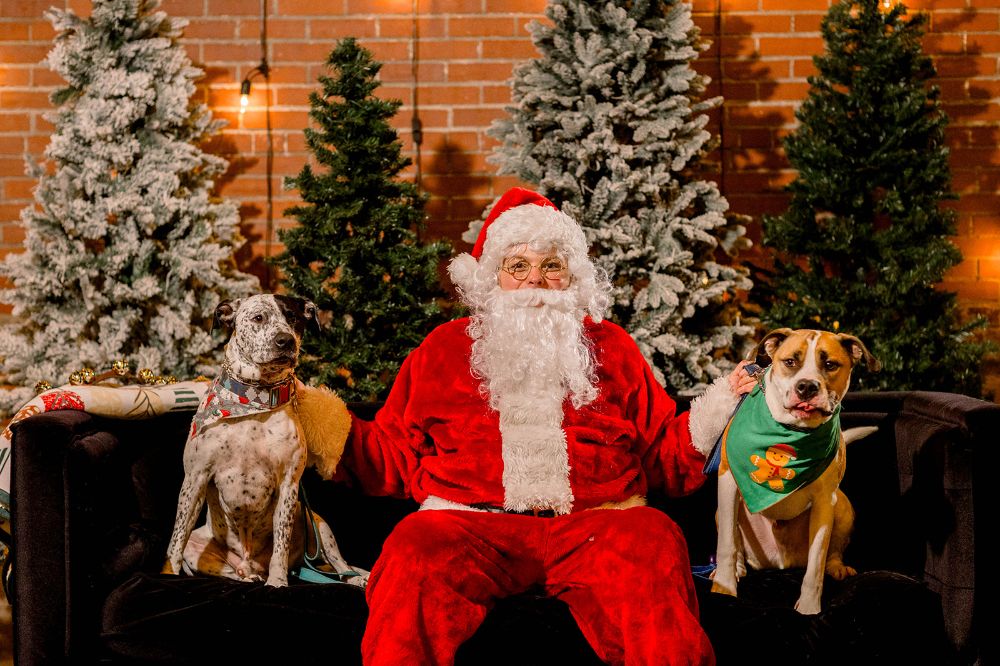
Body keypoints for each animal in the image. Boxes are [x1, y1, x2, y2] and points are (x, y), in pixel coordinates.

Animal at [164, 294, 368, 584]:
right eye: (258, 317)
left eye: (293, 318)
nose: (286, 340)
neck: (254, 400)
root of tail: (250, 562)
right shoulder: (195, 478)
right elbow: (177, 538)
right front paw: (169, 572)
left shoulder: (288, 485)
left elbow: (281, 544)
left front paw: (278, 582)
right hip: (203, 546)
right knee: (227, 568)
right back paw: (247, 576)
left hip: (315, 522)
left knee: (339, 563)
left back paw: (355, 579)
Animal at [708, 326, 880, 612]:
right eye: (790, 362)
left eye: (830, 365)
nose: (807, 386)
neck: (791, 432)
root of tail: (777, 562)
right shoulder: (727, 481)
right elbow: (727, 546)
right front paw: (724, 589)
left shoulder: (824, 502)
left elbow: (816, 563)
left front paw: (809, 608)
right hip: (721, 511)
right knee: (735, 541)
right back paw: (738, 569)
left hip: (843, 506)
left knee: (831, 553)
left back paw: (837, 567)